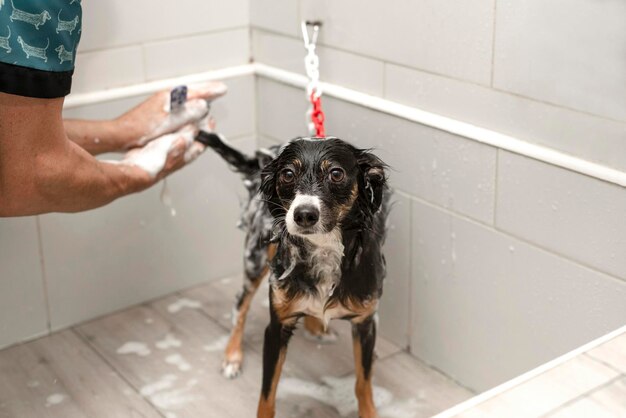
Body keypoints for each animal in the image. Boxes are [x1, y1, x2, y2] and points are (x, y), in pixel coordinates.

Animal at [199, 135, 386, 418]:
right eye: (287, 174)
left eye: (336, 173)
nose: (304, 214)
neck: (323, 251)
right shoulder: (277, 328)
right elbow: (267, 396)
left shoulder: (365, 323)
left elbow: (363, 384)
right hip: (255, 258)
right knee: (240, 304)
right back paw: (232, 355)